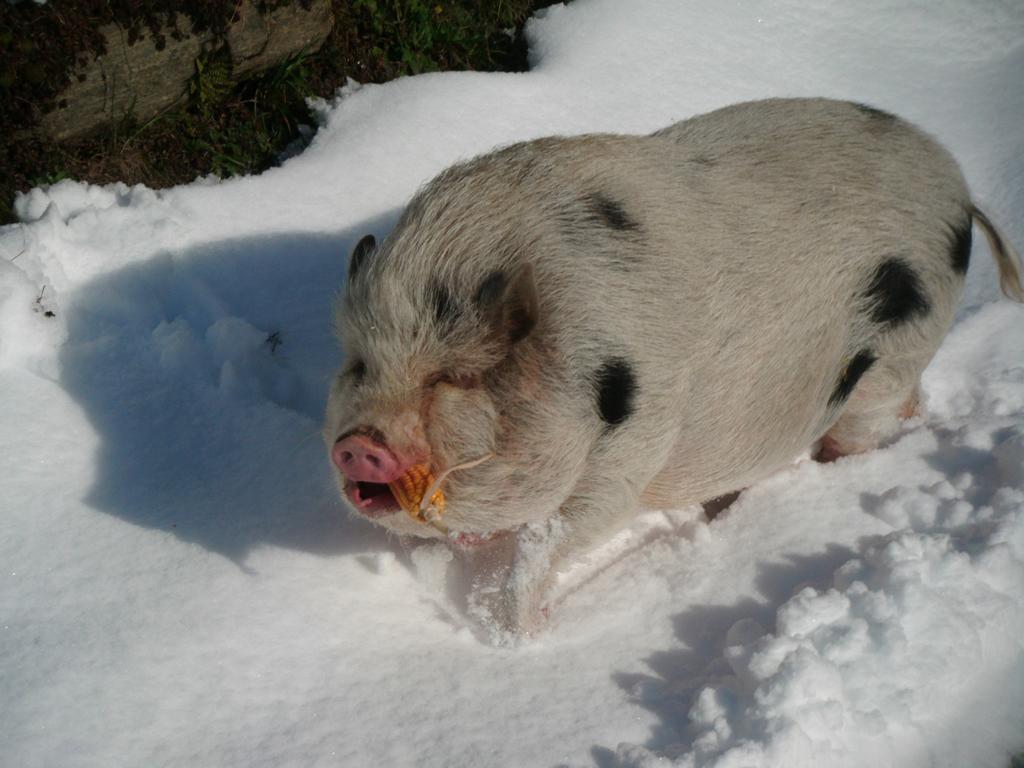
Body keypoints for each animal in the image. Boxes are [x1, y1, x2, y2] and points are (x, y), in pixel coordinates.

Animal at [325, 99, 1024, 634]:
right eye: (360, 365)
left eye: (449, 377)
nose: (358, 444)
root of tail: (960, 192)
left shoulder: (637, 442)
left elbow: (555, 536)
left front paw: (517, 635)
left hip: (896, 356)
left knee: (866, 424)